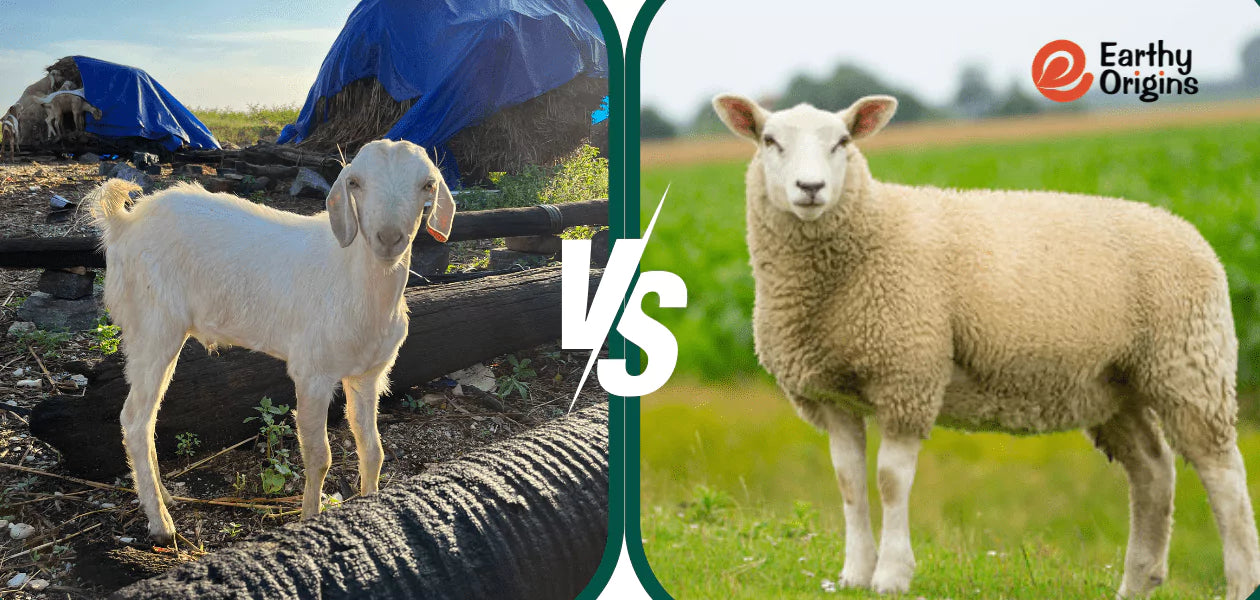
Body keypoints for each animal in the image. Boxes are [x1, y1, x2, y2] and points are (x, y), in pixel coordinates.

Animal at [87, 139, 456, 544]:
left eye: (428, 185)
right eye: (355, 183)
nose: (389, 239)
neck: (352, 277)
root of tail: (123, 224)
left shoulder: (368, 374)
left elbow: (371, 448)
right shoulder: (312, 372)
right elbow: (319, 456)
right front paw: (310, 518)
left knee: (148, 417)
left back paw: (161, 494)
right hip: (152, 324)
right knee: (134, 418)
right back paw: (161, 522)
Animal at [712, 93, 1260, 600]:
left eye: (842, 141)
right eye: (769, 141)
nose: (810, 189)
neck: (868, 235)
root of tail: (1191, 233)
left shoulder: (909, 374)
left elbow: (889, 480)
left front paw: (891, 575)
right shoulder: (832, 393)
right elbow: (848, 481)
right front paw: (854, 574)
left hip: (1188, 365)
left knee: (1224, 476)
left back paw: (1237, 581)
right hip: (1113, 384)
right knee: (1153, 470)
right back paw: (1137, 581)